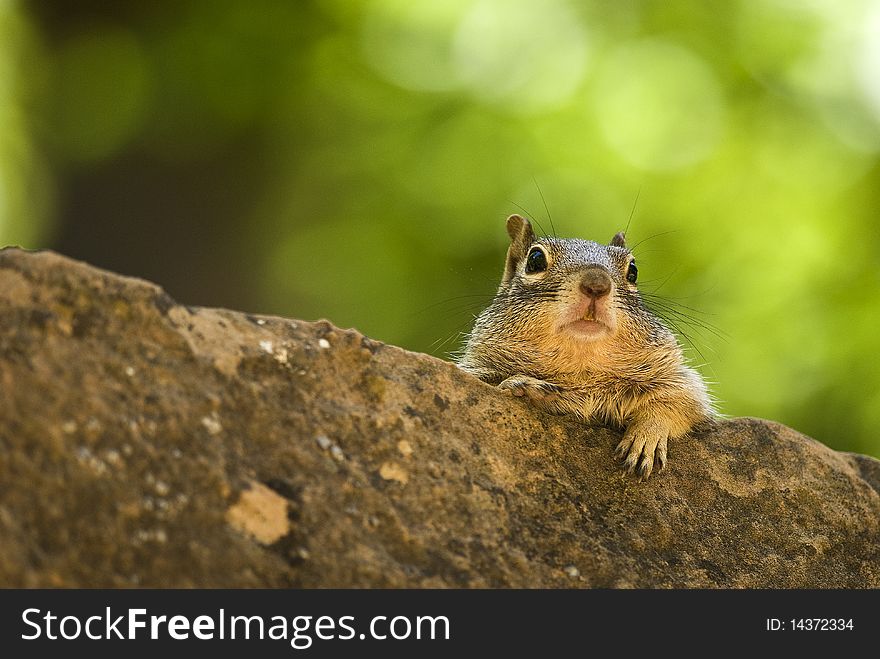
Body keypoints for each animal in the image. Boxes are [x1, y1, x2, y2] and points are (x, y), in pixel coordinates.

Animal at [458, 217, 712, 480]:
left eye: (633, 271)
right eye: (535, 260)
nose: (596, 284)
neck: (581, 370)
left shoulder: (678, 378)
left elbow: (681, 401)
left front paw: (646, 435)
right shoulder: (475, 367)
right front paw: (522, 385)